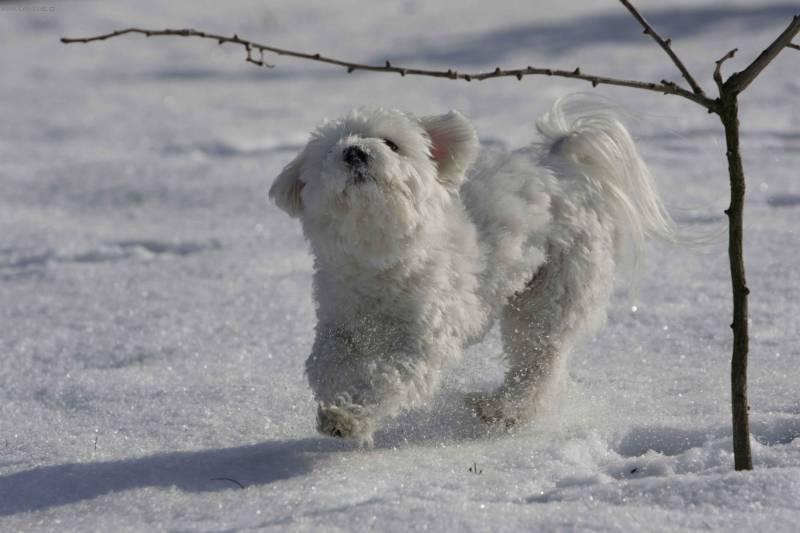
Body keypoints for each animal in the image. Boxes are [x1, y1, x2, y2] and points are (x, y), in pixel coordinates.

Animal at [270, 96, 676, 444]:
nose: (354, 151)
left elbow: (390, 379)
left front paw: (353, 416)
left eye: (391, 143)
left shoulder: (423, 340)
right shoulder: (340, 322)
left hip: (550, 294)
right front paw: (338, 406)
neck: (380, 254)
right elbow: (325, 365)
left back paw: (502, 409)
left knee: (539, 362)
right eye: (330, 152)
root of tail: (560, 166)